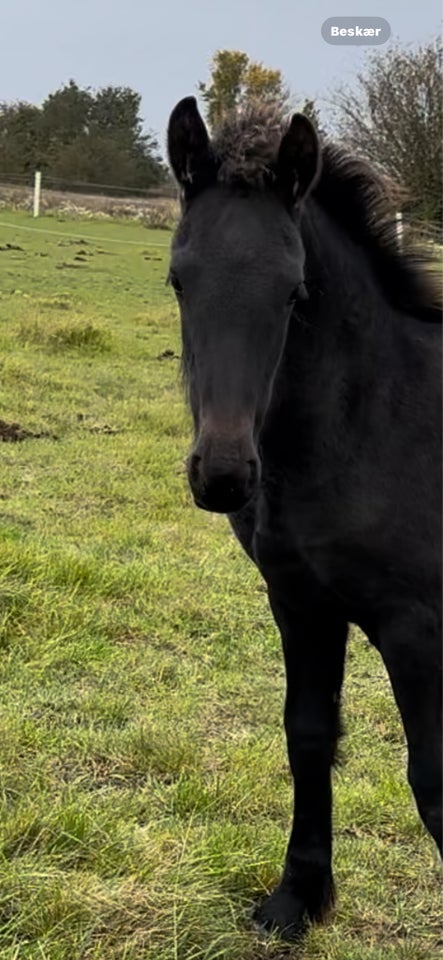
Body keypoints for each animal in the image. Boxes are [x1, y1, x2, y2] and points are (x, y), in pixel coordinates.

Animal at [167, 99, 443, 944]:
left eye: (293, 292)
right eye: (178, 279)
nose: (224, 475)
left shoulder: (416, 626)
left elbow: (431, 778)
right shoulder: (301, 603)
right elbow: (308, 737)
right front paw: (297, 899)